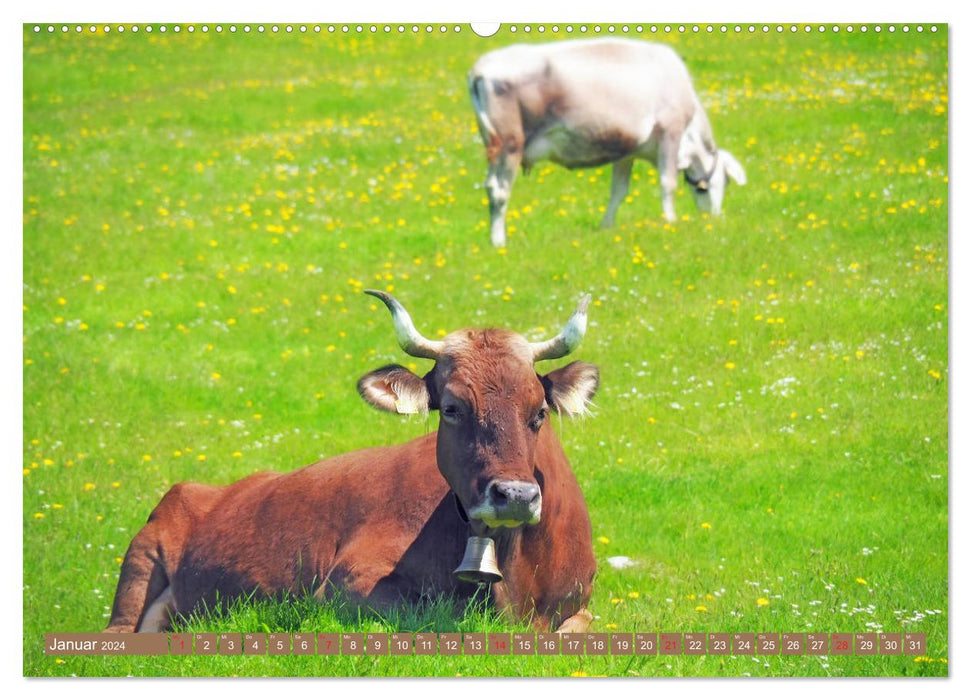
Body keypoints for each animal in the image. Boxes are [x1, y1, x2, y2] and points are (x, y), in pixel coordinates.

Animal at [108, 290, 608, 636]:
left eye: (539, 412)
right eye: (451, 408)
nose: (515, 496)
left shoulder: (581, 602)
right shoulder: (346, 585)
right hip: (140, 562)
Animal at [468, 38, 748, 247]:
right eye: (721, 182)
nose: (712, 218)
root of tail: (481, 67)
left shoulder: (626, 151)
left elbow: (619, 191)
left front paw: (606, 227)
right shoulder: (671, 130)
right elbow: (668, 182)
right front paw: (670, 220)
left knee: (491, 187)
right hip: (509, 144)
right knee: (499, 189)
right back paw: (499, 241)